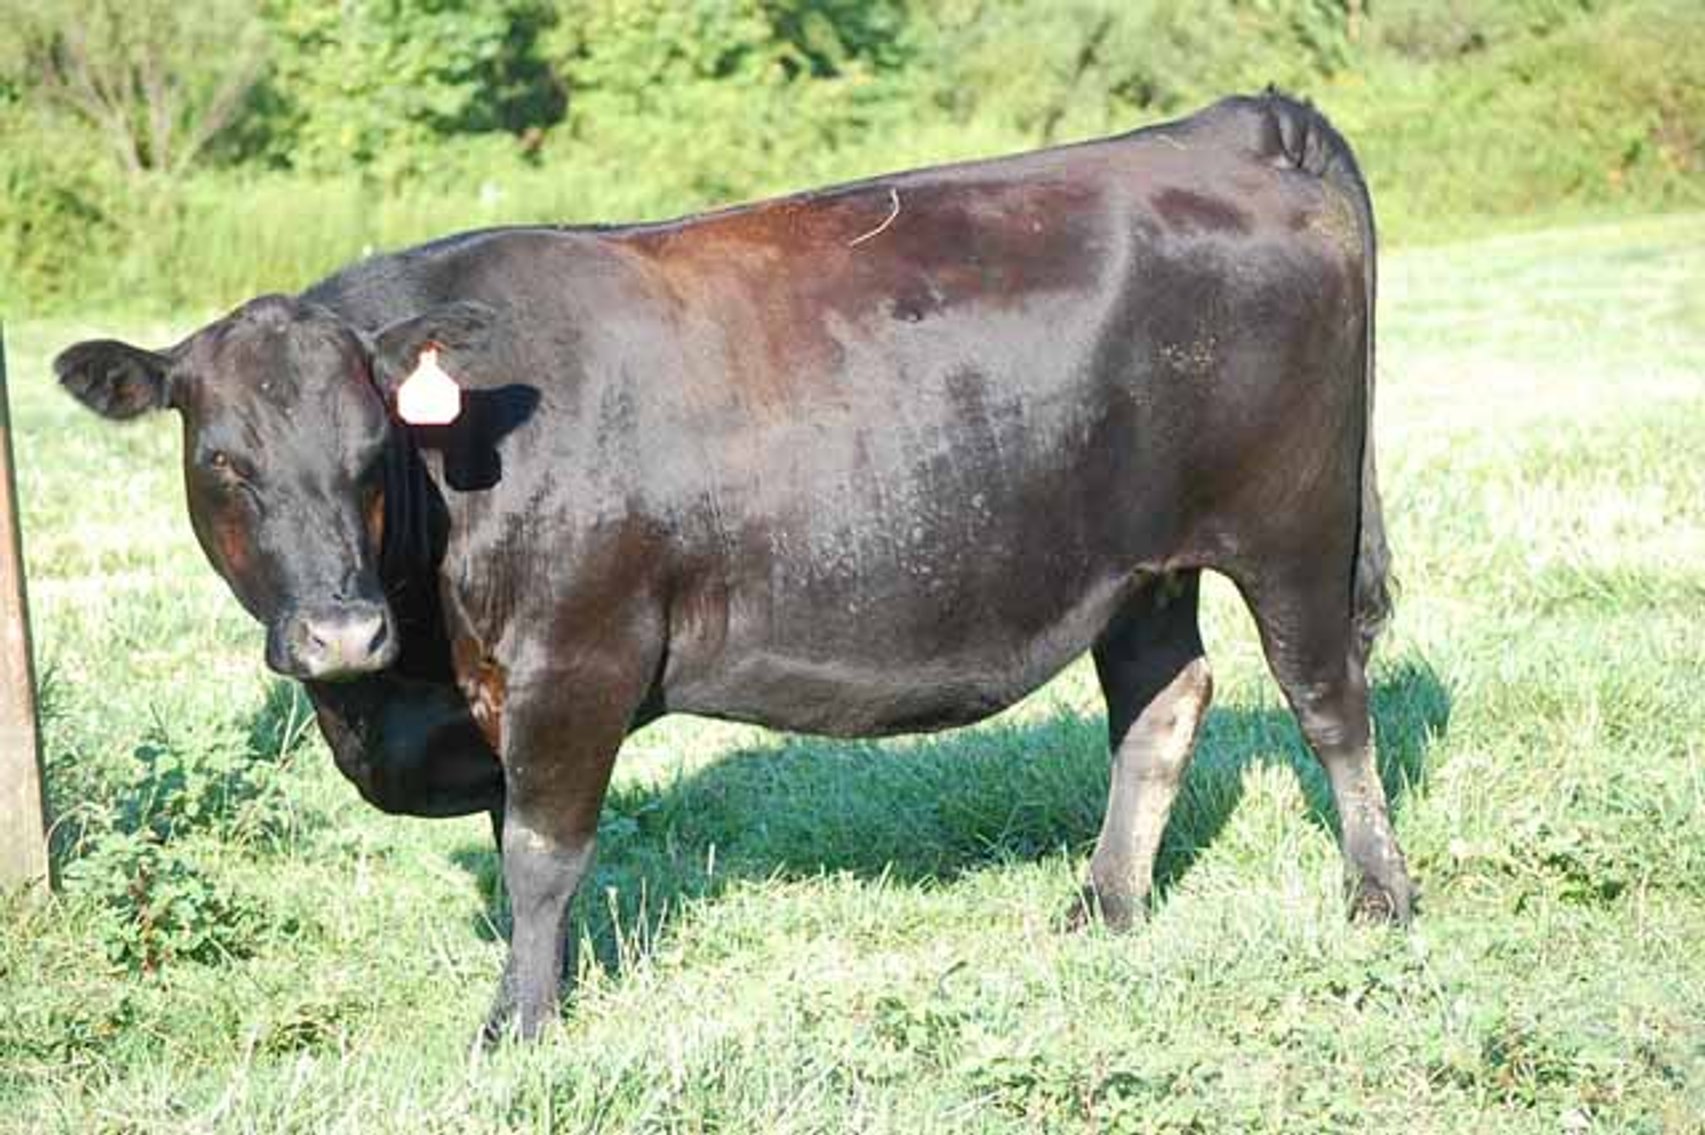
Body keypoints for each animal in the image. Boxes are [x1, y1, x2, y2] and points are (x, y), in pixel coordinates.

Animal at [57, 91, 1414, 1043]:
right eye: (224, 462)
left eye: (366, 446)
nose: (342, 634)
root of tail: (1223, 130)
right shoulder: (499, 690)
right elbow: (518, 850)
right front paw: (549, 989)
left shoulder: (576, 660)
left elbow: (540, 851)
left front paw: (518, 1029)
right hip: (1138, 564)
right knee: (1162, 703)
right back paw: (1105, 905)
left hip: (1292, 531)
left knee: (1327, 705)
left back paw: (1377, 898)